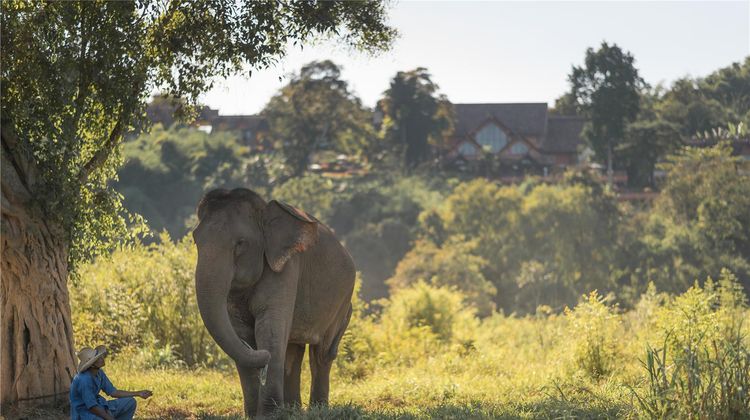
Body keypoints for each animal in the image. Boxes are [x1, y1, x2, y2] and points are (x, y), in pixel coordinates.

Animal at [192, 188, 355, 417]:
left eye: (240, 243)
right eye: (195, 240)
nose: (262, 355)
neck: (264, 211)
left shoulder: (287, 268)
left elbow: (269, 329)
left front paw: (270, 415)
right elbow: (240, 331)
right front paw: (253, 415)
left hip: (342, 302)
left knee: (321, 354)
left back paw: (317, 409)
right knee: (293, 351)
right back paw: (294, 409)